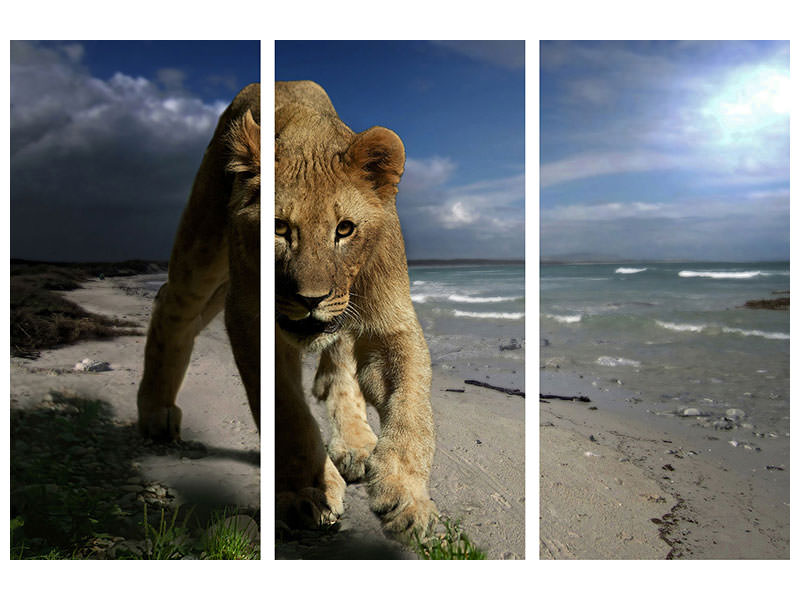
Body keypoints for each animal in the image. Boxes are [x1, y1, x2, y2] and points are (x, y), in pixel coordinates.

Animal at [275, 80, 437, 541]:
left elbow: (413, 410)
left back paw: (355, 446)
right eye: (279, 229)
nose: (311, 299)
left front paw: (405, 496)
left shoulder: (390, 325)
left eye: (344, 229)